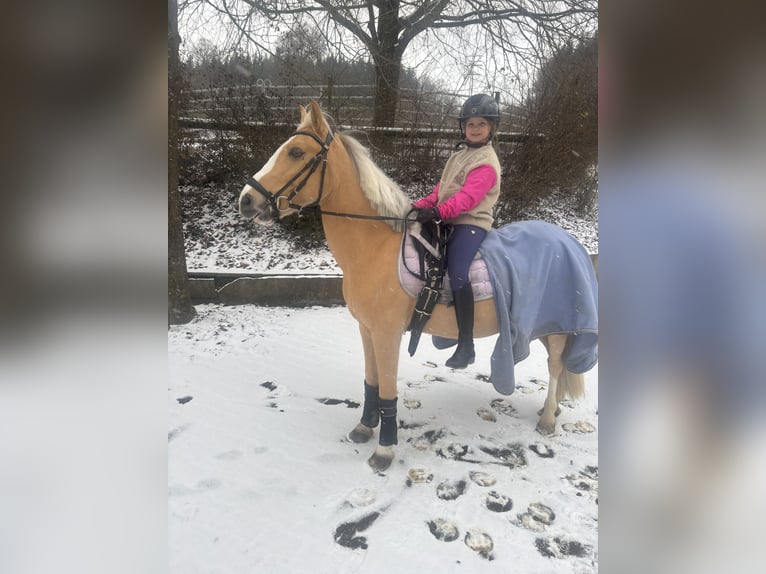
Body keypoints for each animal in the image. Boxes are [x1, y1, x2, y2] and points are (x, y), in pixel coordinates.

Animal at [239, 101, 596, 471]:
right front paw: (364, 428)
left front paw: (384, 450)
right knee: (557, 365)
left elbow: (387, 389)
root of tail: (571, 243)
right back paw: (551, 409)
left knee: (556, 366)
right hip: (546, 327)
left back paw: (548, 420)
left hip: (558, 328)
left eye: (296, 152)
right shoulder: (367, 330)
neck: (375, 248)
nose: (246, 200)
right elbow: (371, 381)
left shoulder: (387, 334)